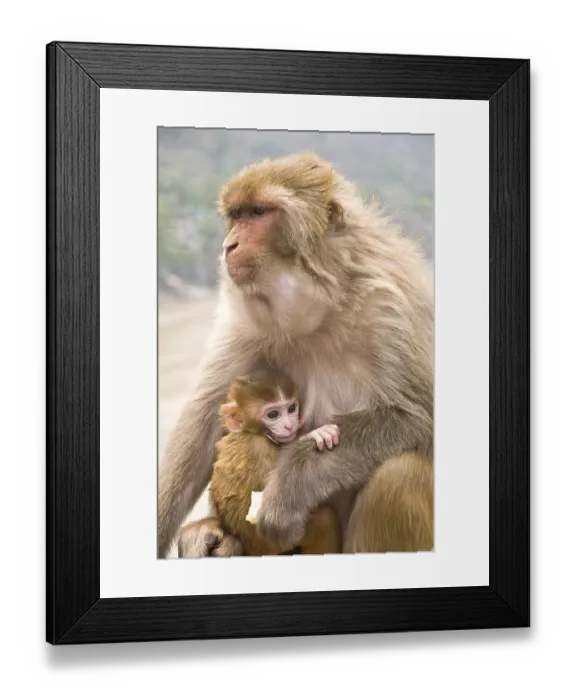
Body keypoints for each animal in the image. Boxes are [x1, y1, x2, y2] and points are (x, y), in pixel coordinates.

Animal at [176, 368, 342, 557]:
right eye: (273, 414)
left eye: (291, 408)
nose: (289, 425)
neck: (251, 433)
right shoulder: (257, 447)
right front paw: (313, 435)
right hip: (270, 543)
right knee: (323, 520)